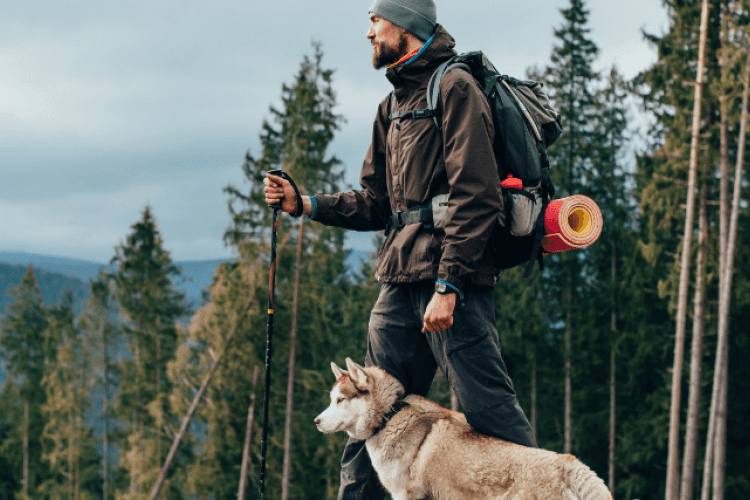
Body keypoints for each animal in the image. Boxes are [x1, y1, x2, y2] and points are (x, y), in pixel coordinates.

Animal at [314, 358, 612, 498]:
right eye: (330, 399)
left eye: (340, 400)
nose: (316, 421)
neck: (389, 417)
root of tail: (571, 465)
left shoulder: (405, 494)